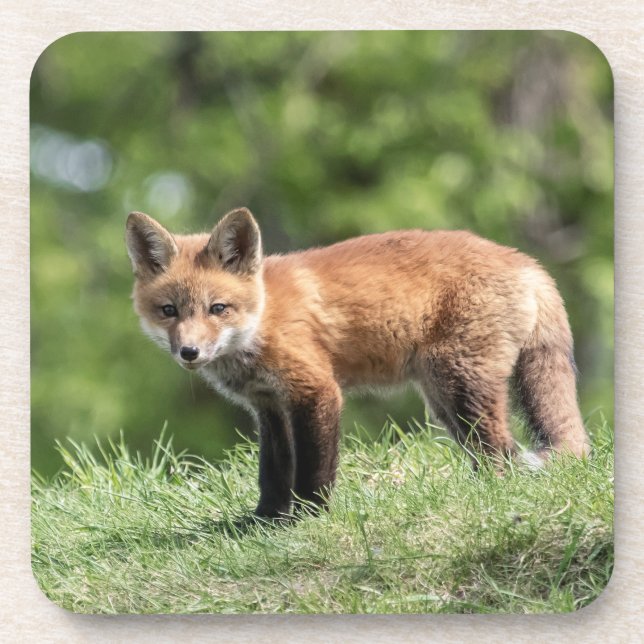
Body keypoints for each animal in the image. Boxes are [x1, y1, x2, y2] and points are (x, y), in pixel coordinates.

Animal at [125, 207, 590, 519]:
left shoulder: (316, 391)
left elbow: (314, 468)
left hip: (459, 385)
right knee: (493, 450)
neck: (263, 318)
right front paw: (263, 521)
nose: (189, 353)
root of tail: (526, 262)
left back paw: (488, 496)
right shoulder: (269, 406)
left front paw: (309, 518)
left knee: (501, 451)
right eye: (169, 311)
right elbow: (272, 471)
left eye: (217, 308)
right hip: (443, 398)